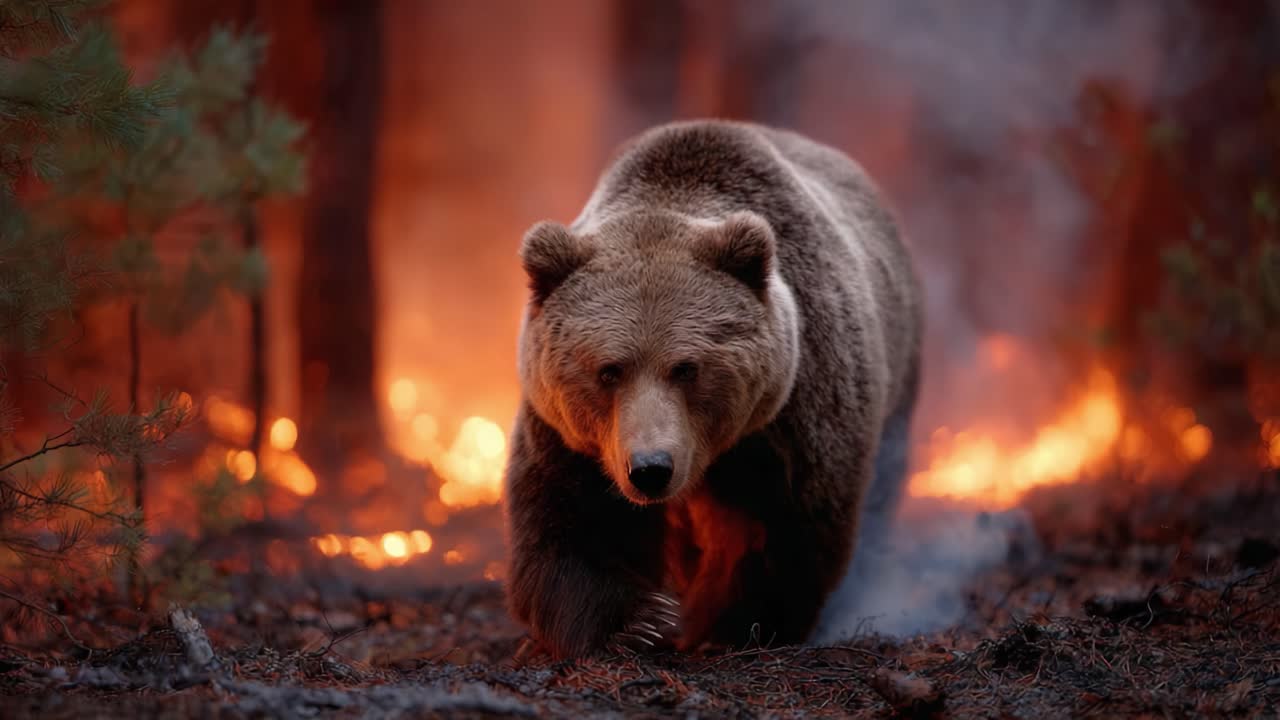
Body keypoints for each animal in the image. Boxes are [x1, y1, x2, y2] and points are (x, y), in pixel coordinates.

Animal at [502, 119, 922, 659]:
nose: (651, 470)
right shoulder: (570, 434)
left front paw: (727, 627)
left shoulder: (787, 419)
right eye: (609, 370)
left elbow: (778, 531)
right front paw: (640, 623)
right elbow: (573, 521)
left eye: (686, 368)